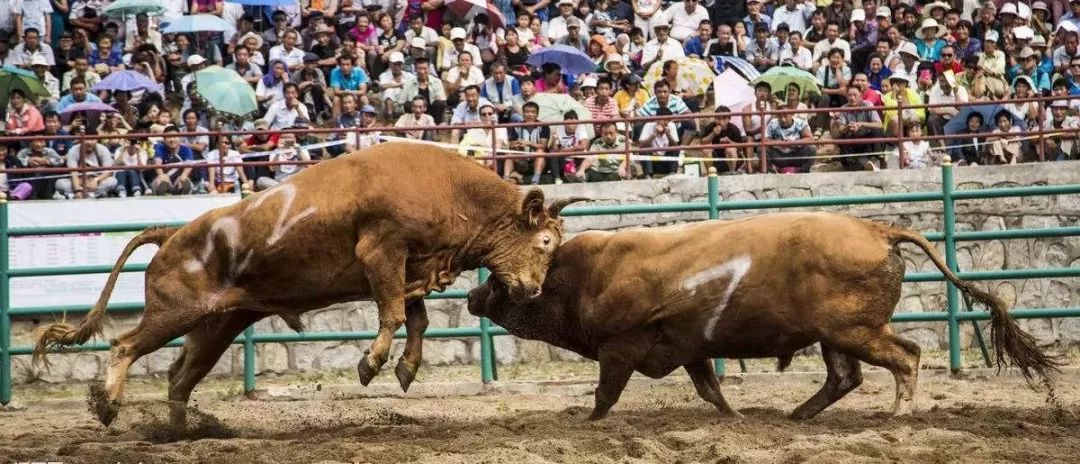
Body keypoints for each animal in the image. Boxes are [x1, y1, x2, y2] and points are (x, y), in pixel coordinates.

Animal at [33, 143, 587, 433]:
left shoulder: (412, 269)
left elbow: (417, 318)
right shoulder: (381, 253)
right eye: (543, 241)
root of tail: (173, 234)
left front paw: (406, 368)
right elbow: (392, 312)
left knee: (178, 377)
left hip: (216, 325)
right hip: (174, 313)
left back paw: (180, 433)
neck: (451, 191)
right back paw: (109, 405)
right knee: (125, 344)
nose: (533, 291)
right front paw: (371, 363)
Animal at [468, 212, 1058, 420]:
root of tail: (877, 230)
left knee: (905, 357)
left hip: (855, 330)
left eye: (497, 281)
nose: (473, 297)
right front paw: (735, 418)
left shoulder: (621, 346)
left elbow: (605, 393)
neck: (583, 275)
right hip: (835, 335)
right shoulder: (689, 347)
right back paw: (796, 416)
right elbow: (710, 389)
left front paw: (588, 423)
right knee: (844, 377)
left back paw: (899, 415)